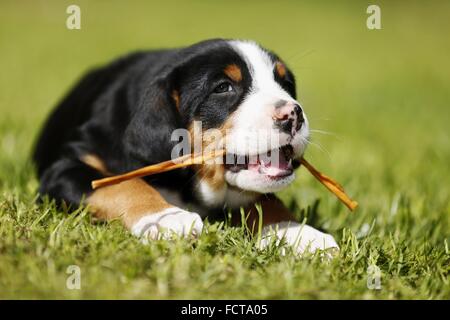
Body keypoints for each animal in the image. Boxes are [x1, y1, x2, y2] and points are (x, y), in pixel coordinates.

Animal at [33, 39, 338, 255]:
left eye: (286, 84)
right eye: (223, 87)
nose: (293, 114)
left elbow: (266, 201)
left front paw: (297, 232)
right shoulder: (65, 168)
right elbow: (122, 185)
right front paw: (165, 218)